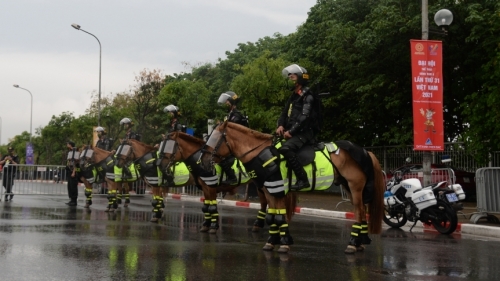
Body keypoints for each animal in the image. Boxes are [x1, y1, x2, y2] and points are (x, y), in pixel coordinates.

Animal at [157, 131, 296, 232]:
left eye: (169, 147)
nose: (160, 164)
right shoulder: (205, 188)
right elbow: (206, 207)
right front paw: (206, 224)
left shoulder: (210, 187)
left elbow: (211, 207)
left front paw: (213, 226)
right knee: (264, 202)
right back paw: (258, 225)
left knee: (265, 202)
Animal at [201, 121, 384, 253]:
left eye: (215, 138)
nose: (203, 160)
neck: (259, 153)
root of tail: (365, 151)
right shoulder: (269, 190)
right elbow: (272, 217)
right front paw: (272, 241)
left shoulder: (277, 189)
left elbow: (279, 217)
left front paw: (283, 243)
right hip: (349, 188)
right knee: (362, 211)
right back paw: (360, 242)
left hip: (355, 187)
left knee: (359, 212)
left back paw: (353, 243)